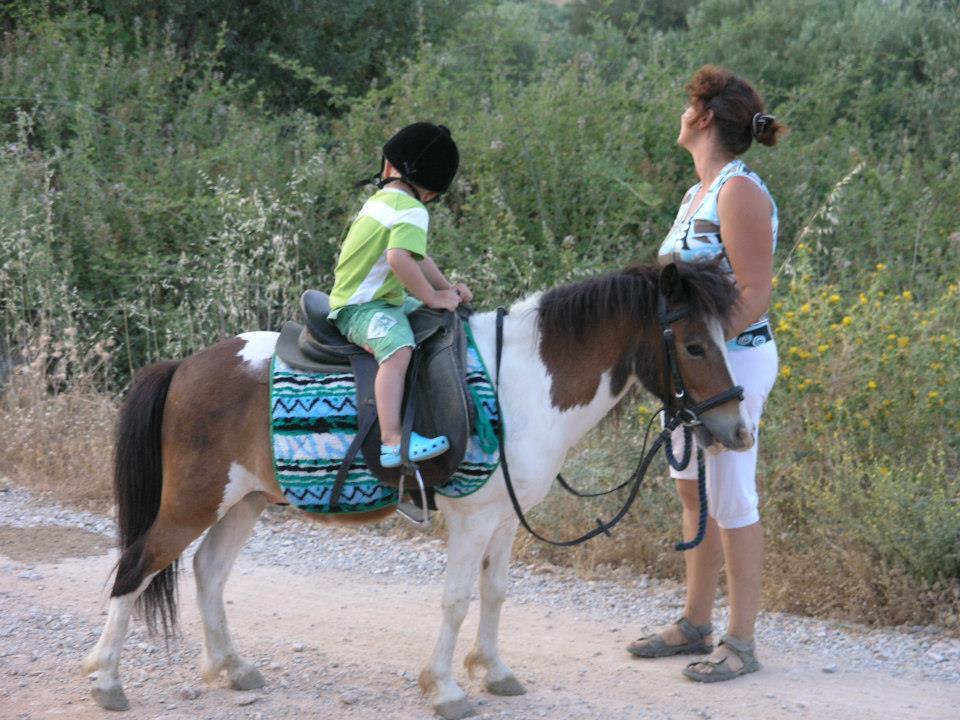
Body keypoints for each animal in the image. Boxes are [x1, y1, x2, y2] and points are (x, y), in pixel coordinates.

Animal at [82, 262, 752, 716]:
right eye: (694, 345)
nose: (737, 431)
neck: (522, 382)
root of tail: (184, 367)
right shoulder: (472, 518)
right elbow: (456, 598)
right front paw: (447, 688)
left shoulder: (503, 518)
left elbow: (496, 593)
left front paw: (494, 671)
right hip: (193, 501)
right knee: (135, 566)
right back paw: (108, 680)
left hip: (243, 501)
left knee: (209, 572)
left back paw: (231, 667)